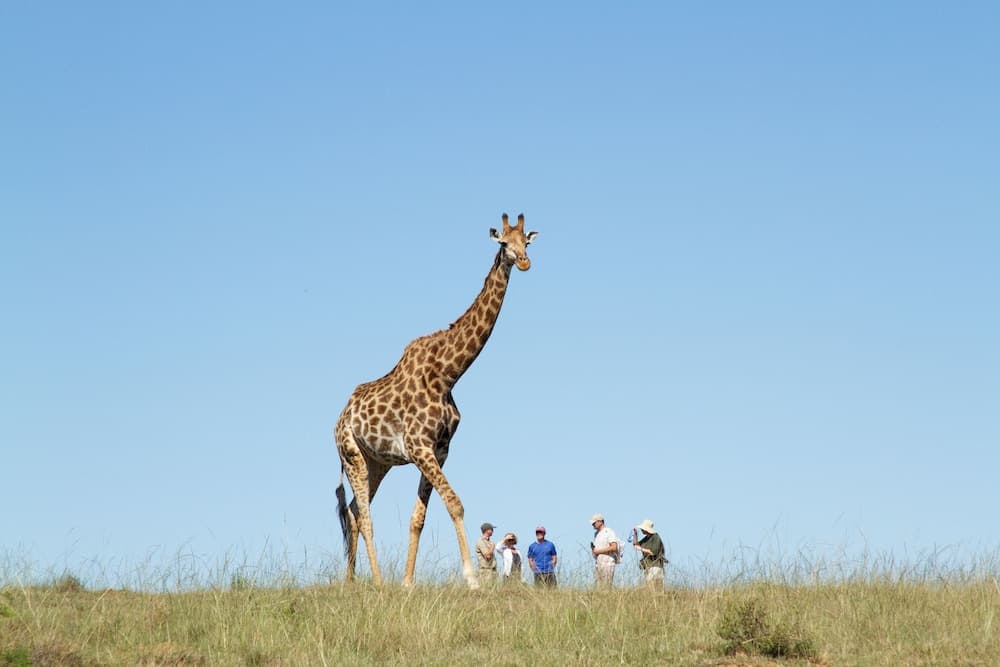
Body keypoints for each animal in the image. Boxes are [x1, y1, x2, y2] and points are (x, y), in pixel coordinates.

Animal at [334, 213, 538, 589]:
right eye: (504, 242)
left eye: (527, 243)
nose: (524, 262)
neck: (448, 373)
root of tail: (339, 418)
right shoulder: (419, 447)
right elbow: (456, 504)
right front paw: (471, 579)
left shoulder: (439, 450)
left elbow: (418, 517)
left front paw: (408, 582)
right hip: (351, 454)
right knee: (365, 515)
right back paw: (377, 582)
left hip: (377, 461)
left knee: (354, 510)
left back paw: (352, 580)